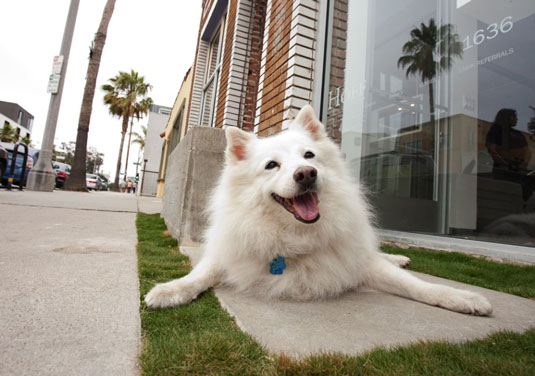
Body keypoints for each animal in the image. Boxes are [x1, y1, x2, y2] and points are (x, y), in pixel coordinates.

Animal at [147, 104, 494, 316]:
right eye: (272, 165)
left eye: (309, 155)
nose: (306, 174)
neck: (296, 235)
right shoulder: (227, 253)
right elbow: (199, 275)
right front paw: (169, 290)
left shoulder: (357, 261)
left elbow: (416, 285)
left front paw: (460, 298)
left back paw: (399, 257)